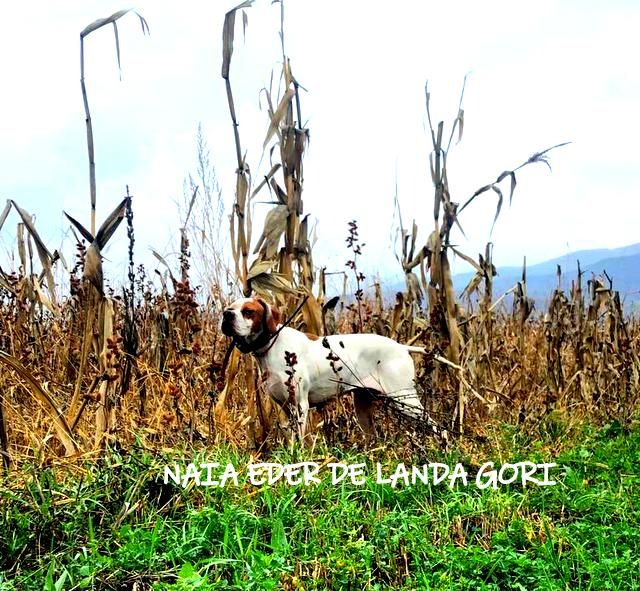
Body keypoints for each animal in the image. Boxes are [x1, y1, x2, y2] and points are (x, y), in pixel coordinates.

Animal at [220, 296, 430, 440]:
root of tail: (402, 347)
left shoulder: (300, 406)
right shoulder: (285, 408)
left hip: (406, 401)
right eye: (228, 309)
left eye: (248, 311)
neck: (271, 345)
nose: (227, 315)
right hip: (363, 408)